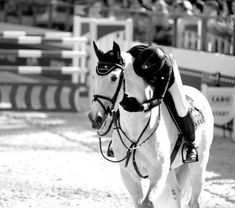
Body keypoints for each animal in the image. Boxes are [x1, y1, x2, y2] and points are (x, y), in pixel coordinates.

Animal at [88, 41, 213, 208]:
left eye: (114, 78)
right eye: (94, 76)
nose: (95, 117)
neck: (135, 127)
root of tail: (199, 93)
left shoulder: (158, 172)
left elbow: (147, 203)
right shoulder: (128, 174)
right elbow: (139, 202)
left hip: (199, 163)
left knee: (194, 200)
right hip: (170, 170)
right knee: (177, 192)